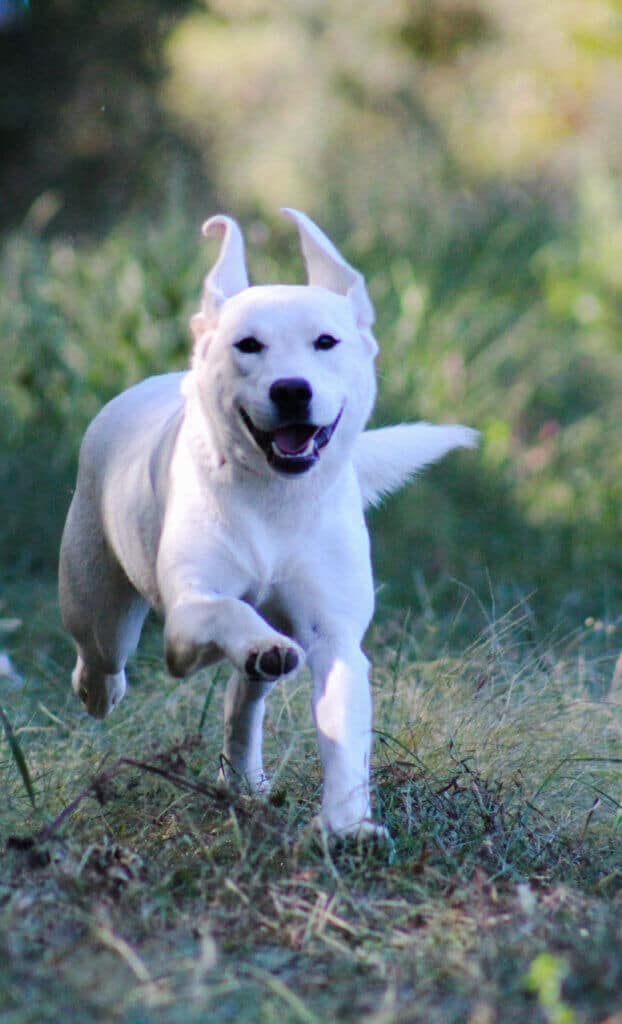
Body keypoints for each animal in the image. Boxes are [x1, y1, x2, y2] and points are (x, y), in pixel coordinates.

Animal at [59, 209, 477, 839]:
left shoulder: (333, 634)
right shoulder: (188, 612)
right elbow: (222, 612)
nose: (292, 389)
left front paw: (348, 827)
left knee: (244, 700)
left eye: (326, 341)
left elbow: (343, 732)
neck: (274, 497)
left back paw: (244, 777)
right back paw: (101, 690)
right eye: (248, 345)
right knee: (103, 653)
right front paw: (245, 642)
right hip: (96, 596)